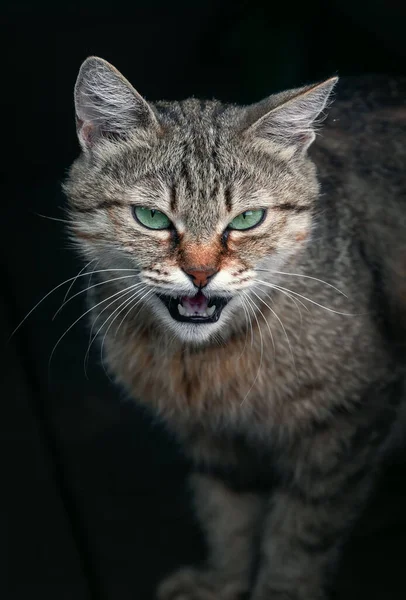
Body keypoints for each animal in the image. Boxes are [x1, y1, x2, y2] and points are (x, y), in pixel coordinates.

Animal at [64, 57, 406, 600]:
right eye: (151, 216)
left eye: (247, 219)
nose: (201, 274)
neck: (206, 361)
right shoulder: (213, 440)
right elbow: (227, 515)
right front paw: (222, 580)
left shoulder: (348, 428)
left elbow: (301, 535)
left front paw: (281, 590)